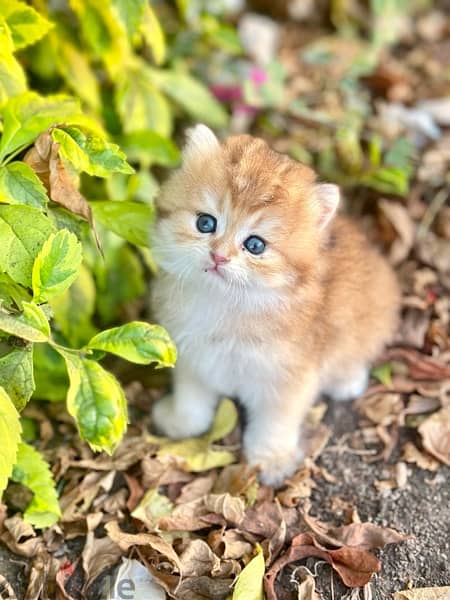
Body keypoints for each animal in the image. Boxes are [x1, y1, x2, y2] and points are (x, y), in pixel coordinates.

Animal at [151, 126, 400, 488]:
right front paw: (181, 422)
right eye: (206, 223)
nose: (219, 257)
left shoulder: (287, 379)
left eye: (255, 245)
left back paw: (348, 380)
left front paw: (271, 460)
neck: (228, 305)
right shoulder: (192, 357)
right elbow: (192, 399)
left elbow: (275, 423)